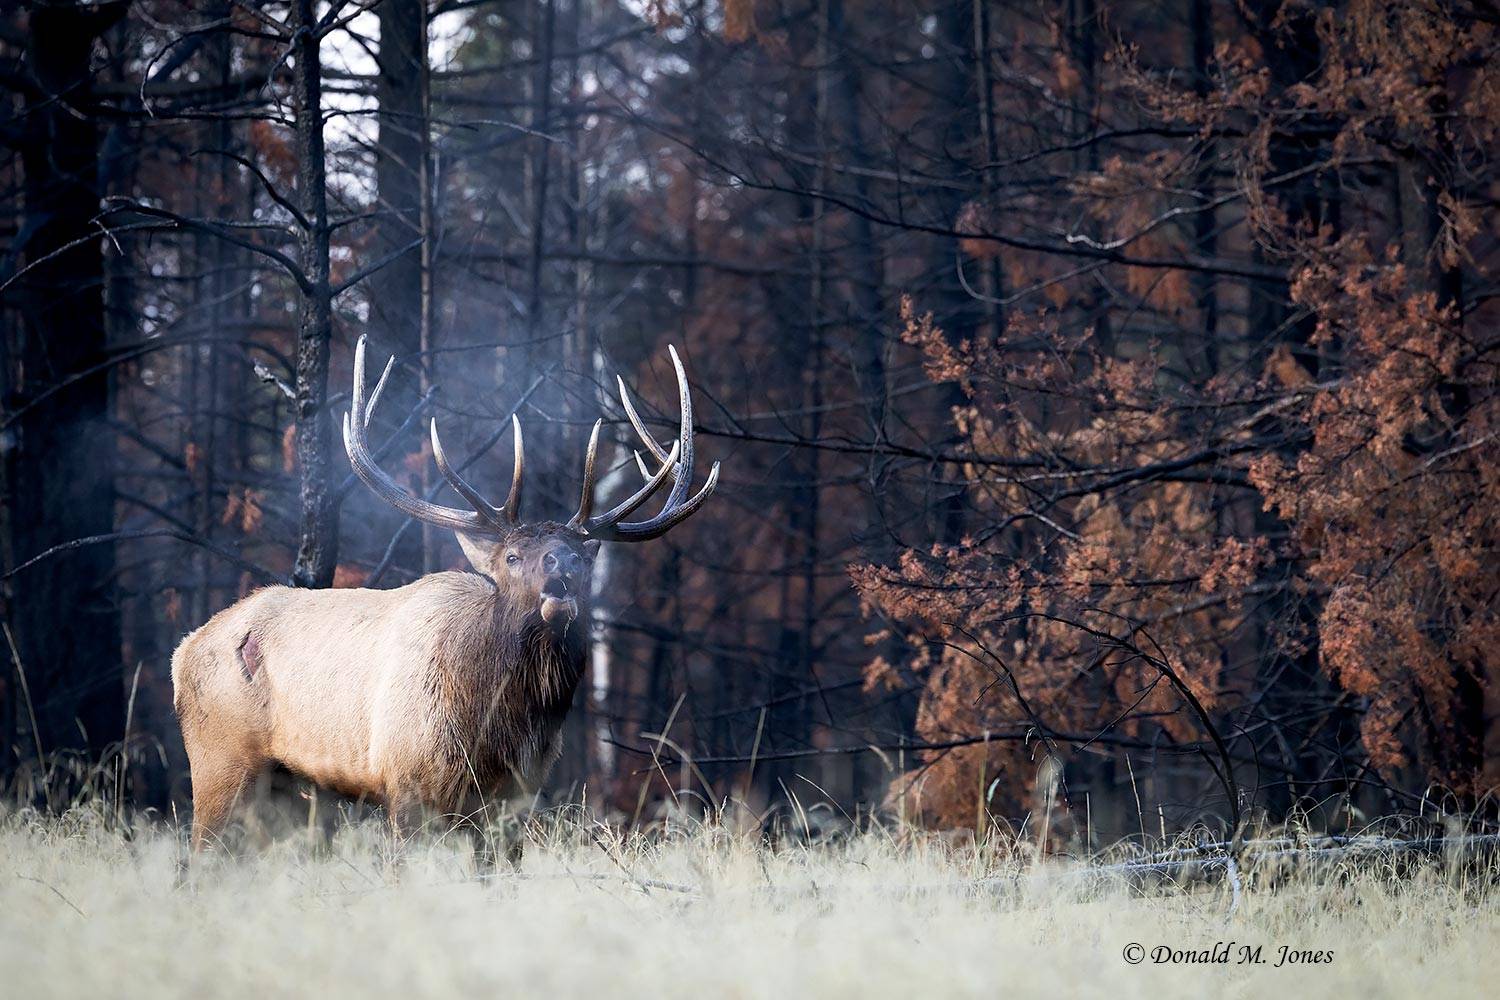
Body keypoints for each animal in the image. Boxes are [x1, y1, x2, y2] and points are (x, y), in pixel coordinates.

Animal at [171, 337, 719, 854]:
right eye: (512, 556)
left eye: (584, 560)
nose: (561, 565)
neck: (497, 726)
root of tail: (183, 651)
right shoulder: (407, 780)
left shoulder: (514, 799)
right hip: (220, 759)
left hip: (285, 787)